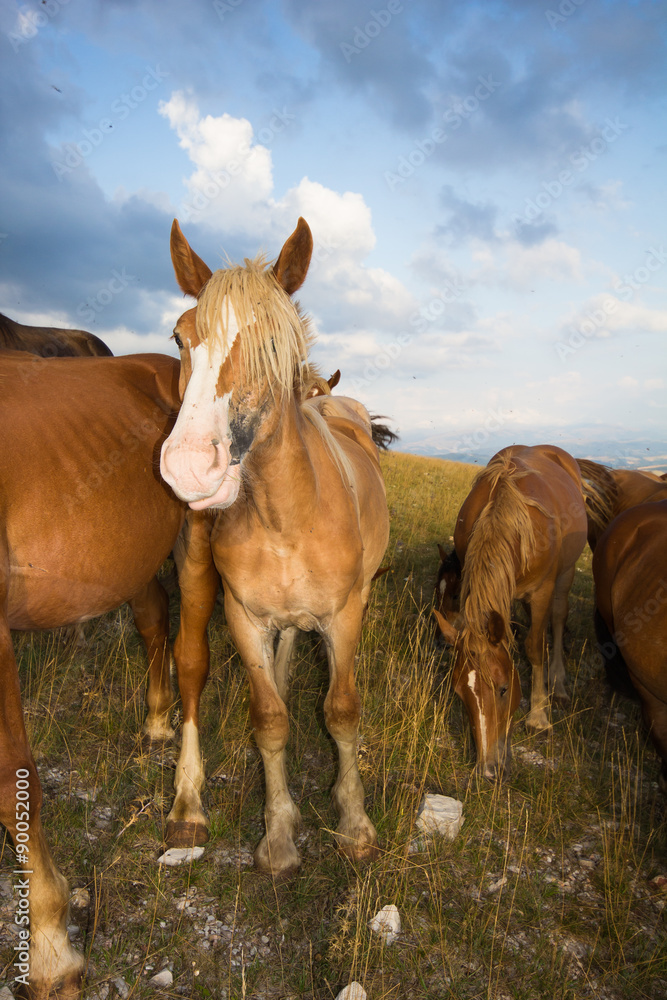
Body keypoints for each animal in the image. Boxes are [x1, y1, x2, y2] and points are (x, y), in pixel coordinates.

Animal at [160, 219, 392, 876]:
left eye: (274, 342)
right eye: (180, 337)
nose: (190, 466)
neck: (287, 517)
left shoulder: (344, 617)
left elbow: (341, 712)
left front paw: (354, 823)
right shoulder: (244, 618)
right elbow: (268, 721)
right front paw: (280, 834)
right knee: (193, 665)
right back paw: (187, 805)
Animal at [436, 446, 588, 780]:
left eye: (504, 689)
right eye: (458, 693)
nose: (488, 769)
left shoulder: (542, 591)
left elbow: (534, 647)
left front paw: (538, 716)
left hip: (565, 575)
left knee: (558, 618)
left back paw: (557, 683)